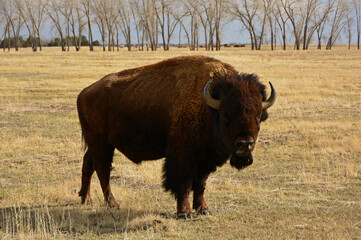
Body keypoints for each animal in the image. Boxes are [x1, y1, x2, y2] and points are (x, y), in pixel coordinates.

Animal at [76, 54, 274, 219]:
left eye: (258, 116)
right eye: (226, 116)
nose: (245, 144)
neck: (208, 107)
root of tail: (84, 92)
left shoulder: (205, 158)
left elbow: (201, 184)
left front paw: (204, 209)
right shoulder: (183, 155)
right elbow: (184, 183)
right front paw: (184, 213)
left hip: (98, 143)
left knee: (88, 164)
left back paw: (86, 199)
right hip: (101, 143)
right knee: (103, 170)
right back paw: (113, 204)